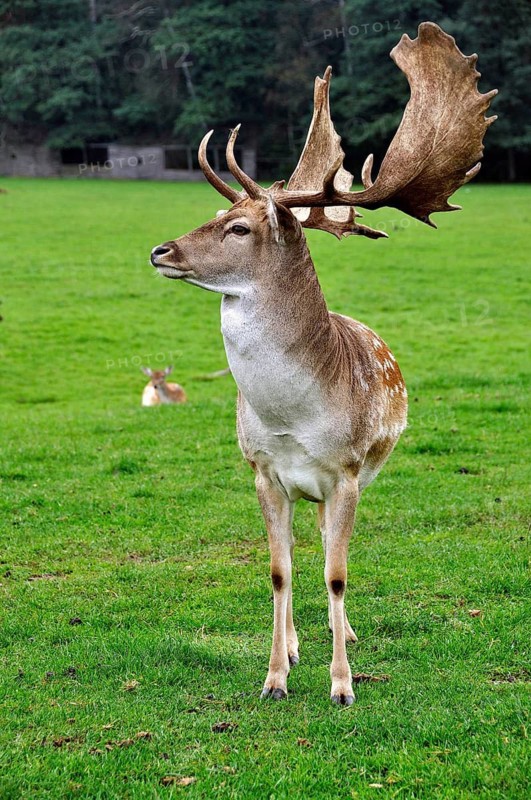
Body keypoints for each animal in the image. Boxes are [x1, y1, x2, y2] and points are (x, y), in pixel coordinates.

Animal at [149, 22, 496, 705]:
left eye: (238, 229)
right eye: (219, 216)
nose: (160, 251)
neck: (292, 418)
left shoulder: (347, 471)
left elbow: (337, 574)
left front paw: (342, 685)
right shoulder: (262, 470)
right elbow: (279, 571)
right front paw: (275, 677)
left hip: (355, 476)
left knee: (332, 554)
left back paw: (345, 637)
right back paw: (295, 644)